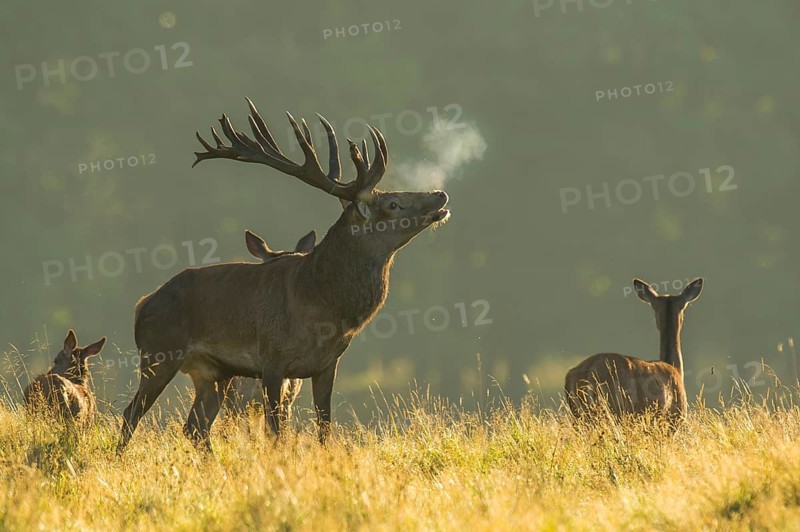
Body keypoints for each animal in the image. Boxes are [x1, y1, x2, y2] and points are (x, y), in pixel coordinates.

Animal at [564, 278, 703, 428]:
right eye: (684, 308)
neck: (675, 368)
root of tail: (587, 373)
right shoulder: (675, 419)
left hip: (579, 415)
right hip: (616, 409)